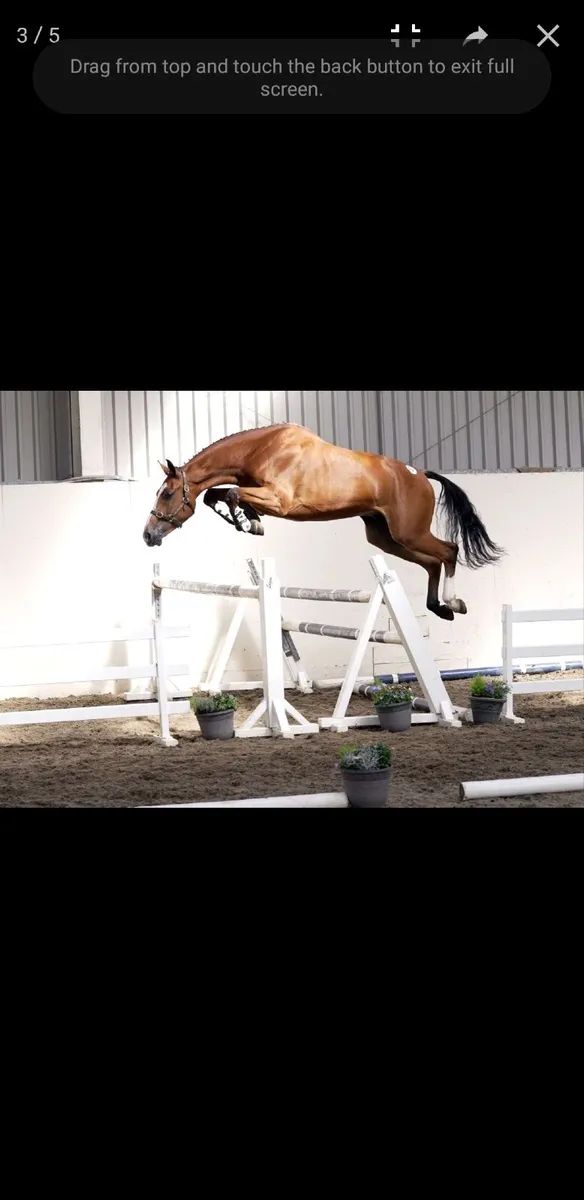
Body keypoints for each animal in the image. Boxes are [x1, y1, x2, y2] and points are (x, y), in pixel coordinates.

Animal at [143, 423, 503, 621]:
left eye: (167, 494)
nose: (148, 536)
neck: (261, 449)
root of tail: (420, 474)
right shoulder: (259, 492)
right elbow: (215, 495)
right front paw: (251, 521)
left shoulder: (280, 500)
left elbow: (230, 494)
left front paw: (247, 522)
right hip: (386, 538)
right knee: (432, 562)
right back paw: (438, 607)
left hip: (409, 532)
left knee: (449, 551)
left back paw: (453, 602)